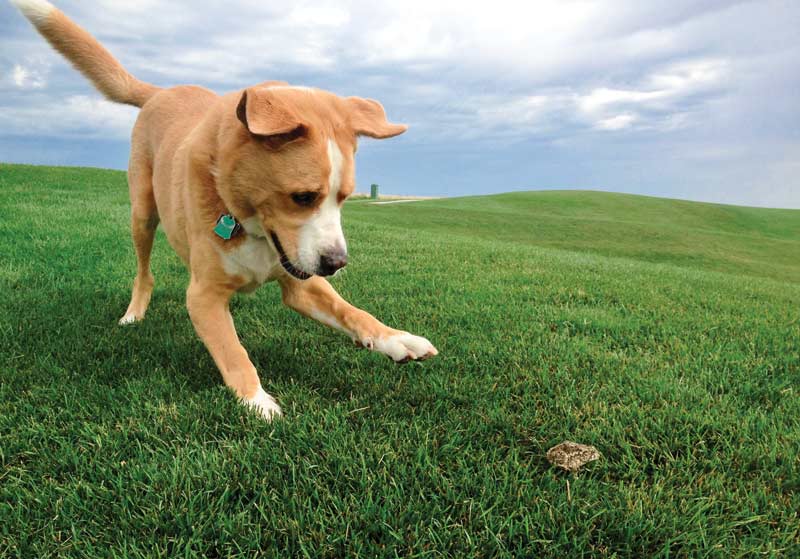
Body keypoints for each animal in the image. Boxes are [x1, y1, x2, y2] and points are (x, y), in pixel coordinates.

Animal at [10, 0, 438, 420]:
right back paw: (135, 311)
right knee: (144, 271)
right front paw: (257, 400)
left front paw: (397, 339)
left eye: (345, 197)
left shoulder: (300, 281)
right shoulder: (204, 296)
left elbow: (350, 311)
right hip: (142, 213)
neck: (248, 223)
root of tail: (161, 91)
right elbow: (233, 352)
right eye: (302, 197)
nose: (336, 263)